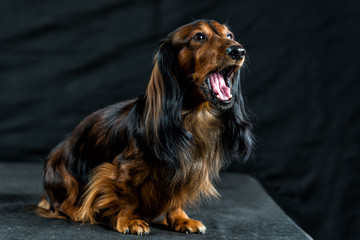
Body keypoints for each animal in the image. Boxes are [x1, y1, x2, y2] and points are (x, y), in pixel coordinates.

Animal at [37, 19, 253, 235]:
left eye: (229, 35)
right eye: (199, 36)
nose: (238, 51)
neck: (192, 115)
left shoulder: (182, 169)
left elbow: (175, 197)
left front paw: (181, 219)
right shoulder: (123, 168)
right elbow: (128, 194)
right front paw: (130, 220)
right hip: (63, 174)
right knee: (61, 204)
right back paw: (78, 211)